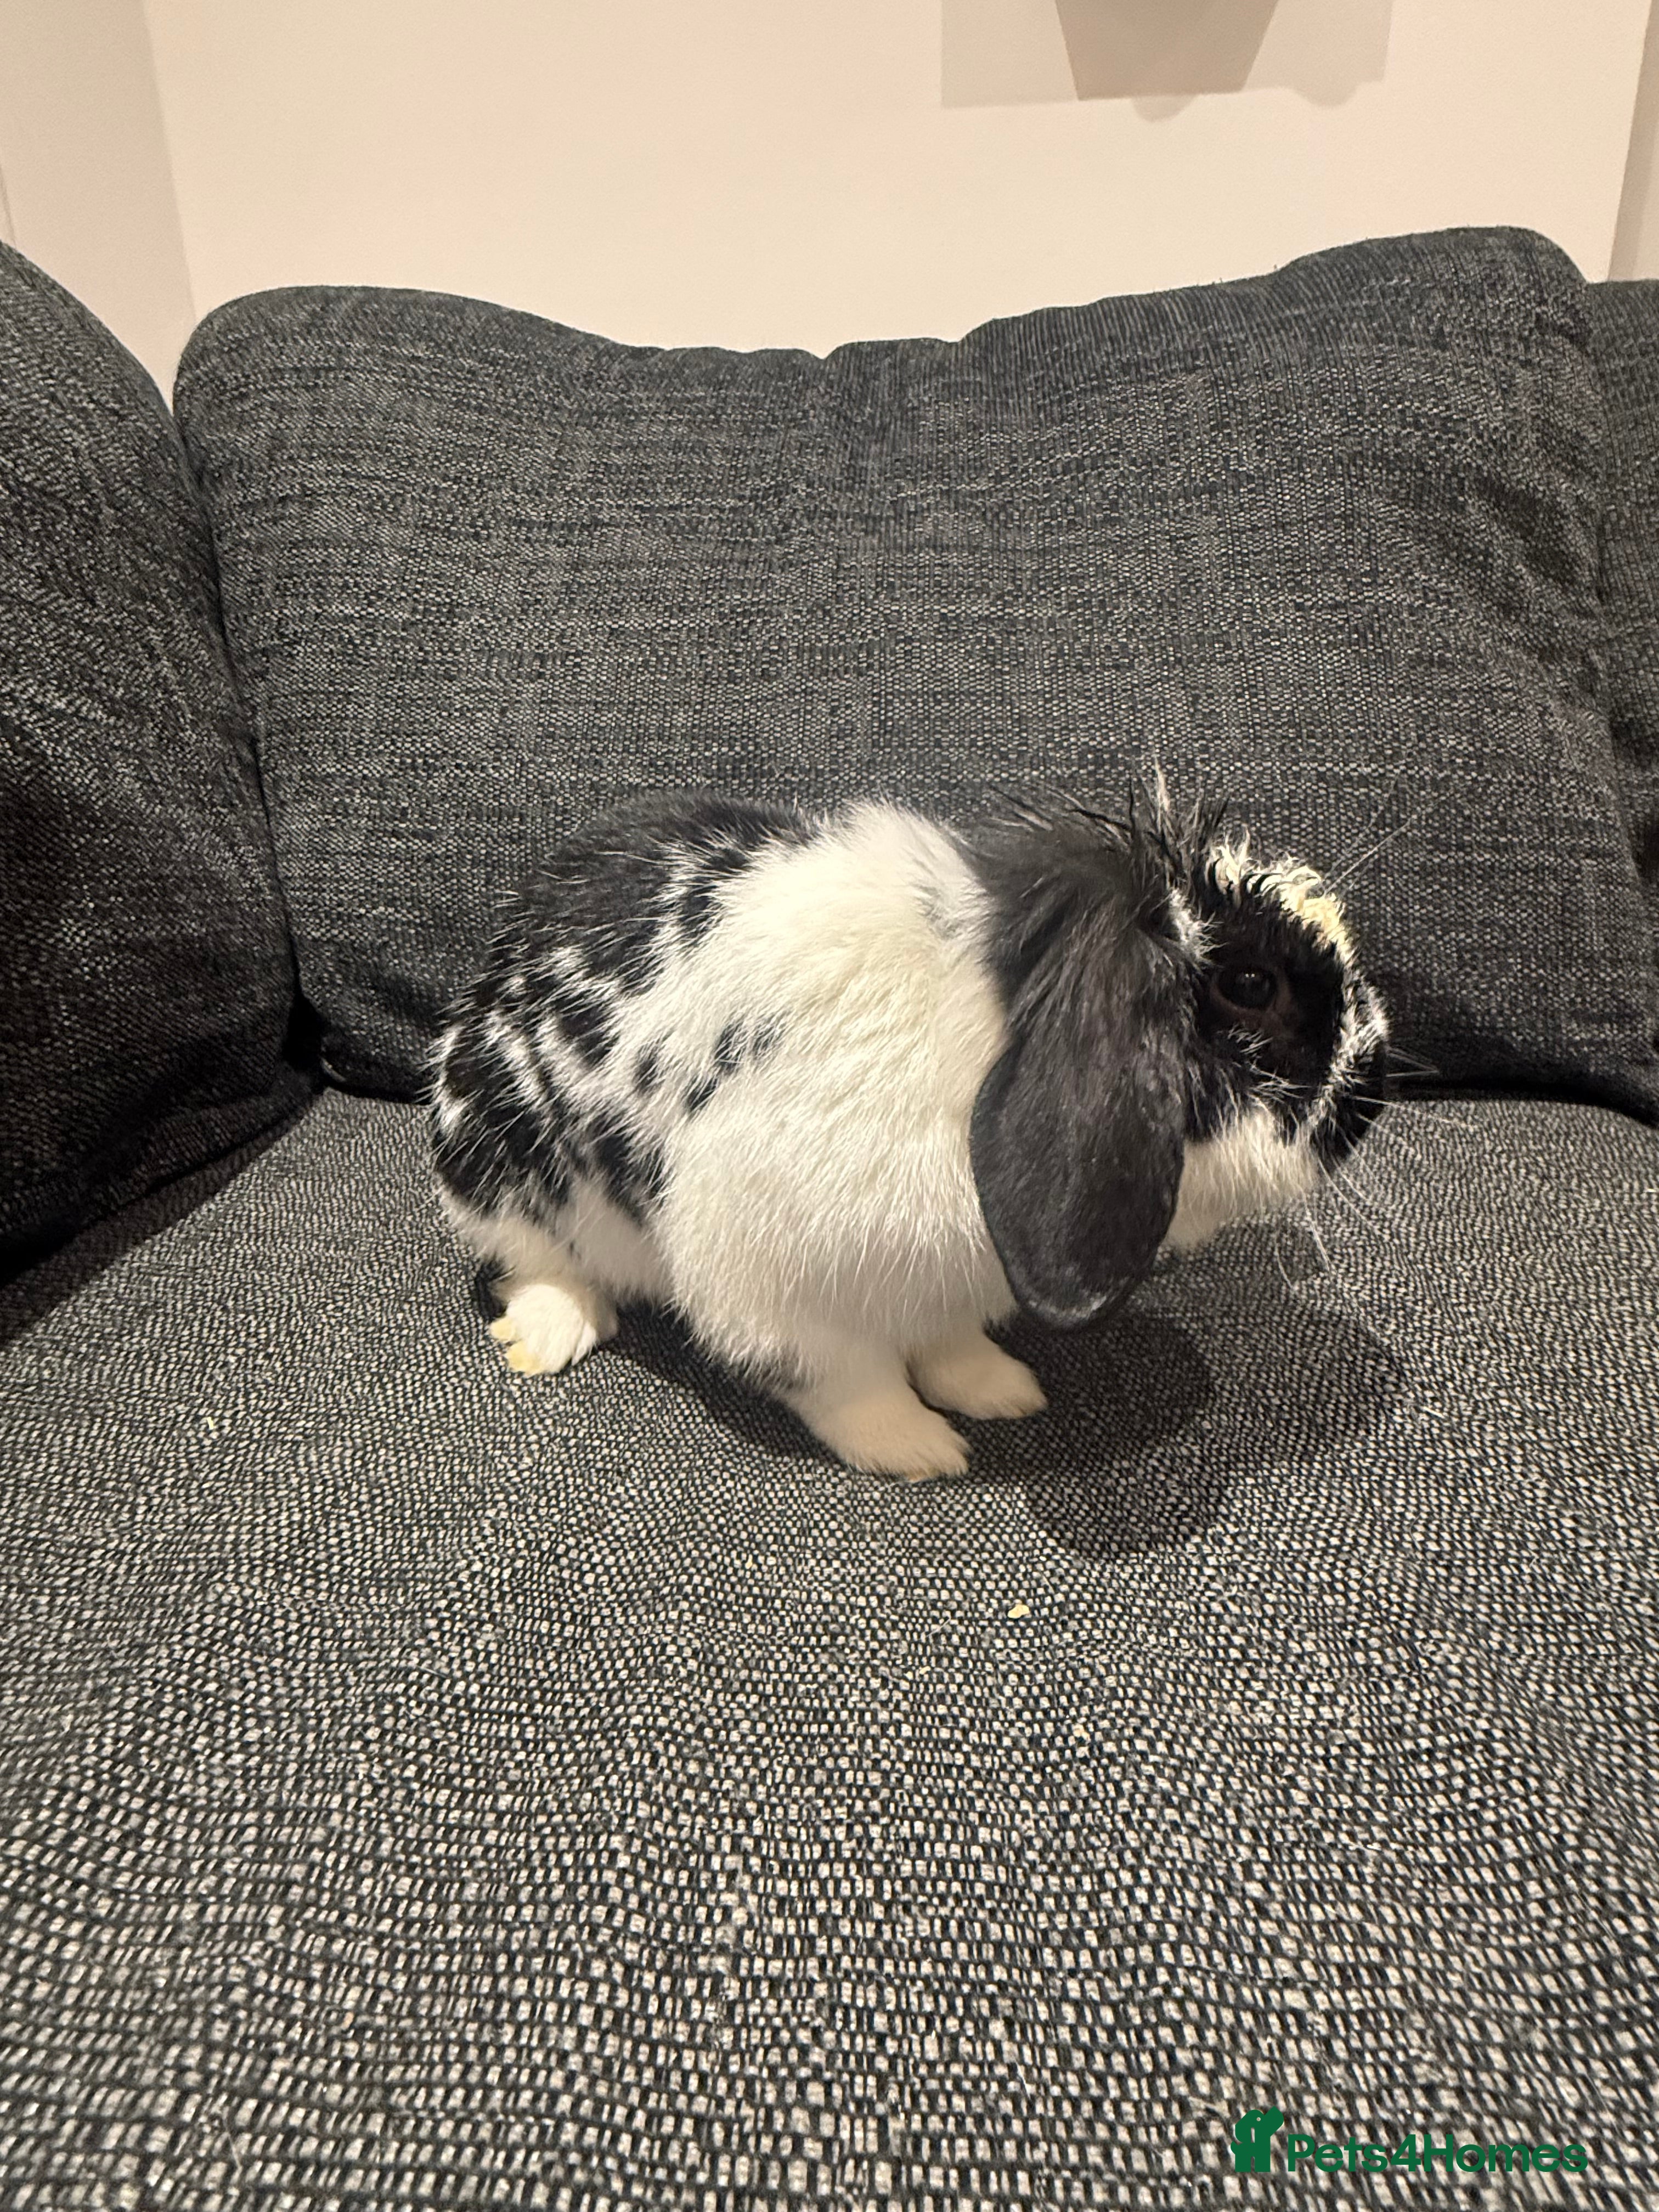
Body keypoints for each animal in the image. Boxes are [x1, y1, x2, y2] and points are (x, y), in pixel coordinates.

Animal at [430, 781, 1390, 1480]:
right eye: (1251, 986)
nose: (1372, 1094)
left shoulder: (942, 1288)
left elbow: (949, 1345)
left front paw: (1002, 1392)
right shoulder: (776, 1288)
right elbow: (849, 1383)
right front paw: (922, 1450)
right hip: (494, 1167)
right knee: (533, 1260)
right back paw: (548, 1337)